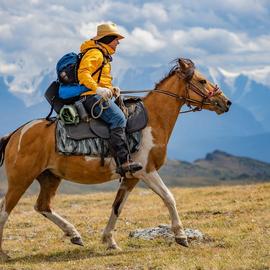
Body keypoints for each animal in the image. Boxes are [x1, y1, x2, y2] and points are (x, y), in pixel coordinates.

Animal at [0, 58, 232, 260]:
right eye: (202, 81)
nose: (226, 102)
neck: (152, 121)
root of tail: (15, 134)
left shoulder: (131, 177)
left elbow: (117, 207)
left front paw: (109, 240)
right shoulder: (147, 171)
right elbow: (169, 197)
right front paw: (181, 236)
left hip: (50, 177)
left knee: (42, 206)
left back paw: (74, 234)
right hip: (20, 180)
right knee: (5, 210)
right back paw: (4, 253)